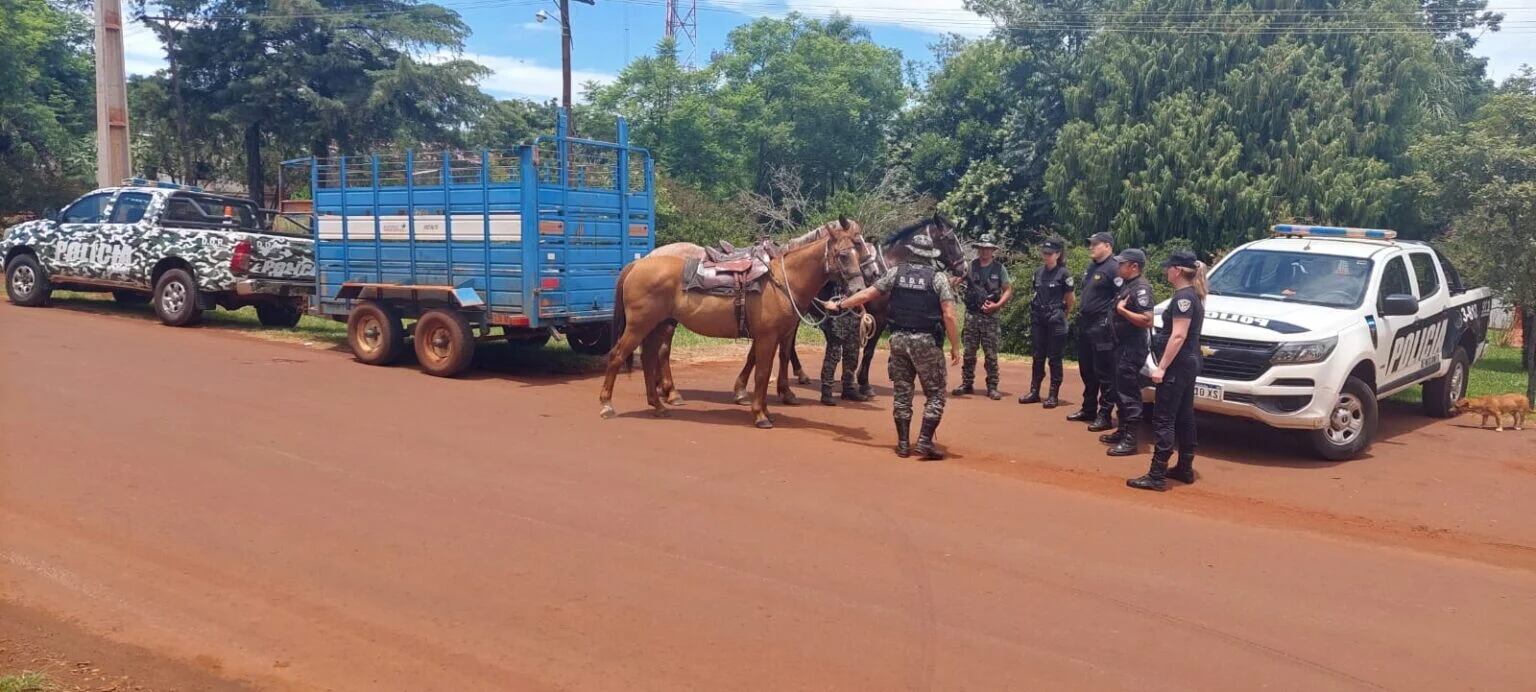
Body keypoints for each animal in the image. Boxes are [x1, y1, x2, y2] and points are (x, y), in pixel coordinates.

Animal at [599, 217, 866, 426]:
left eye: (859, 248)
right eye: (844, 255)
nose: (859, 289)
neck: (782, 280)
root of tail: (638, 263)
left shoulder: (774, 335)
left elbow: (767, 365)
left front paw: (765, 405)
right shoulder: (767, 336)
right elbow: (762, 372)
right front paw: (760, 415)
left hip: (657, 325)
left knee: (649, 358)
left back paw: (659, 405)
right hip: (639, 326)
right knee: (617, 355)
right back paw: (607, 405)